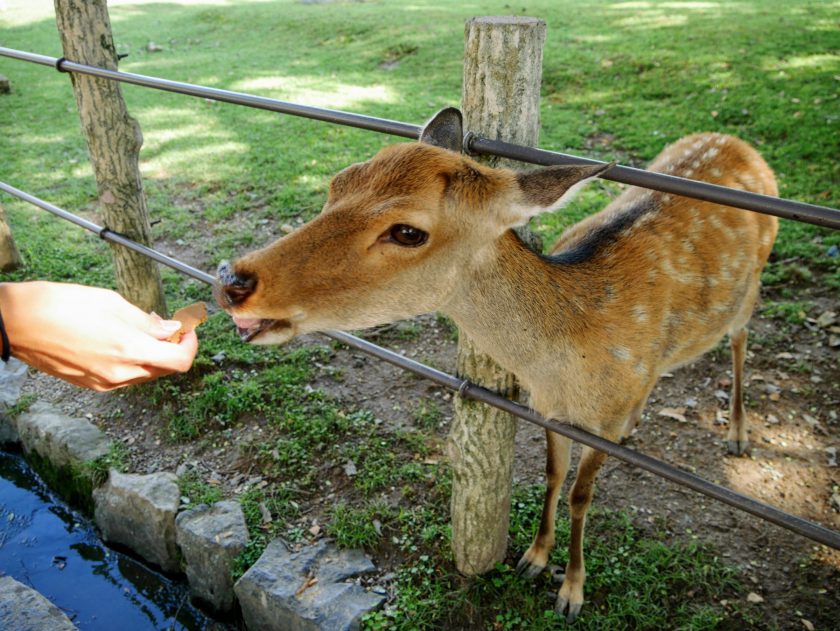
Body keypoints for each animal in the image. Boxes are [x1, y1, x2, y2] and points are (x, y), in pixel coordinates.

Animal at [213, 108, 776, 624]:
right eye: (338, 183)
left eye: (407, 231)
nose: (232, 280)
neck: (572, 358)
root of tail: (739, 143)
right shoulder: (549, 409)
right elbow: (552, 473)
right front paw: (533, 558)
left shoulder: (603, 420)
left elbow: (581, 493)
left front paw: (571, 592)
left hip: (752, 285)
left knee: (741, 337)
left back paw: (738, 434)